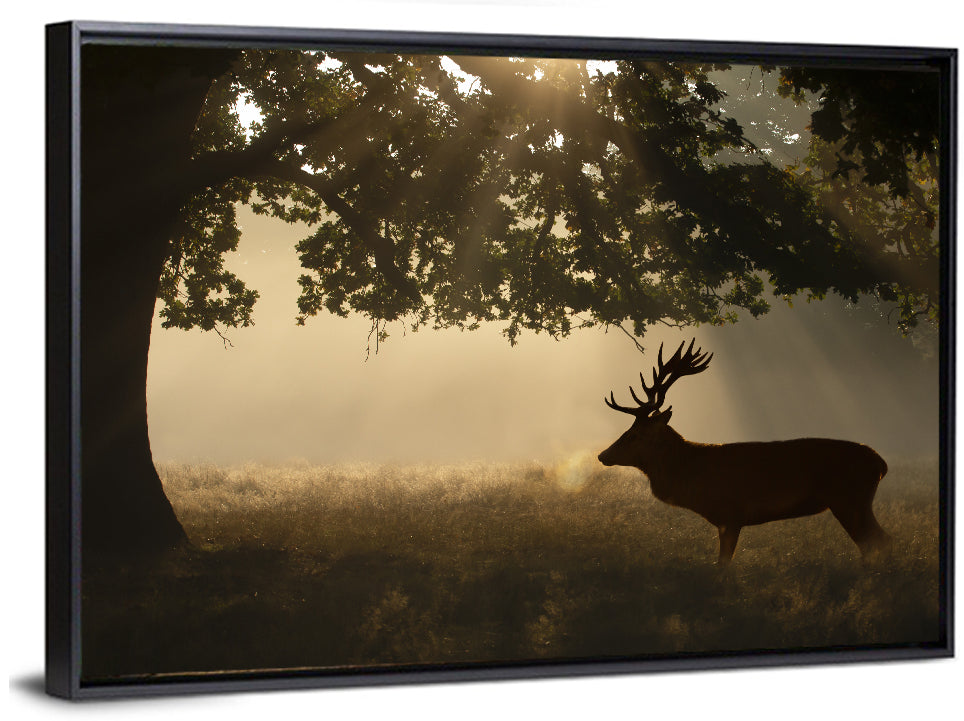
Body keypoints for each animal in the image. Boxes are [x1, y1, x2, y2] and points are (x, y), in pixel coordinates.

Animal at [598, 339, 891, 565]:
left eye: (634, 435)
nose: (602, 455)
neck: (693, 476)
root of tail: (881, 464)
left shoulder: (731, 513)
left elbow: (723, 564)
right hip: (854, 502)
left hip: (850, 499)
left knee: (877, 541)